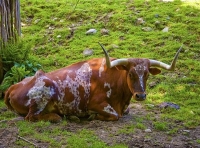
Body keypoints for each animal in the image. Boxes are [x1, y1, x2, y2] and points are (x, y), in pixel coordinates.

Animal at [3, 43, 182, 122]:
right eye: (130, 73)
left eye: (146, 74)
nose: (141, 96)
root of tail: (13, 86)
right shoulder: (96, 103)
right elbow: (115, 115)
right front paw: (93, 116)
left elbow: (125, 112)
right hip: (42, 95)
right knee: (32, 117)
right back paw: (58, 116)